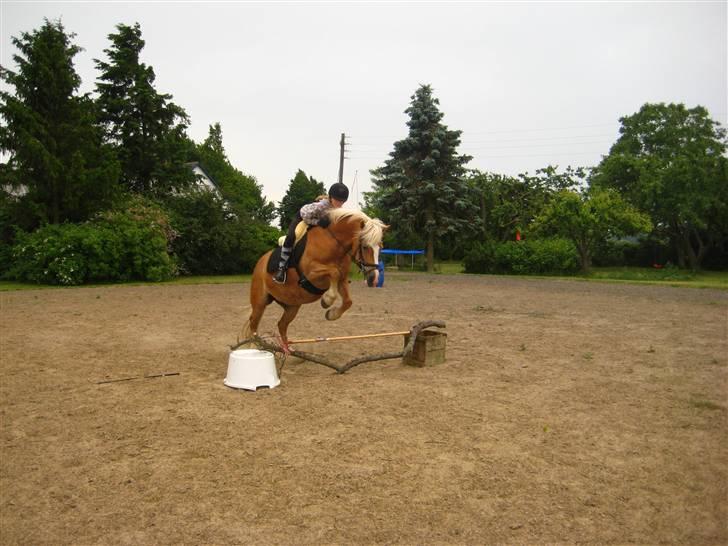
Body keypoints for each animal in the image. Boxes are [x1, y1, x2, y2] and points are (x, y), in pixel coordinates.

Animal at [240, 206, 390, 350]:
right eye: (364, 247)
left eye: (380, 247)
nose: (373, 279)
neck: (334, 243)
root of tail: (260, 262)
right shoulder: (310, 274)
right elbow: (333, 272)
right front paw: (327, 300)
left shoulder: (342, 280)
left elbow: (348, 301)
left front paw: (331, 314)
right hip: (260, 302)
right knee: (254, 325)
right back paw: (255, 348)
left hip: (292, 306)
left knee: (281, 324)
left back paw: (288, 349)